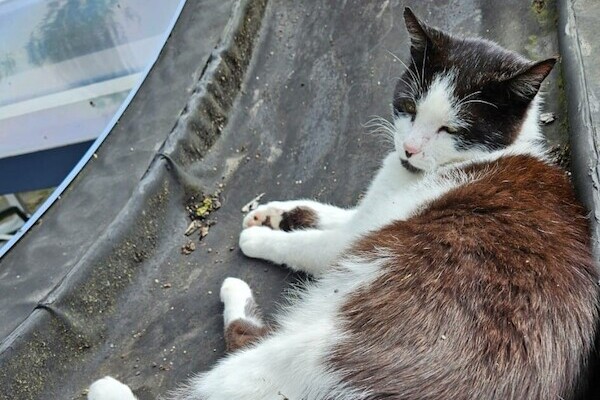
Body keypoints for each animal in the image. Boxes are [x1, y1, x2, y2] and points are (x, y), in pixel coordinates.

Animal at [89, 7, 600, 400]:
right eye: (408, 106)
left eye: (451, 129)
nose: (408, 149)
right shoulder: (365, 216)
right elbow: (323, 213)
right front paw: (269, 213)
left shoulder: (357, 240)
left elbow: (311, 244)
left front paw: (259, 239)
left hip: (313, 353)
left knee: (239, 353)